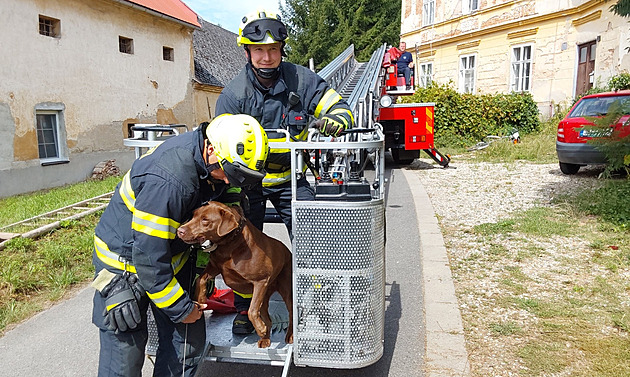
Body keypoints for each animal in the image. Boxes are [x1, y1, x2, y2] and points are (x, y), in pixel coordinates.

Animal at [177, 200, 296, 346]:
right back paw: (265, 339)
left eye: (205, 220)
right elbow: (201, 278)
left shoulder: (260, 281)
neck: (230, 243)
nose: (180, 231)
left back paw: (288, 335)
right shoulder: (214, 267)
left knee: (291, 312)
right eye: (194, 215)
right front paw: (200, 298)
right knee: (267, 318)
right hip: (264, 296)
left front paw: (260, 328)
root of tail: (288, 251)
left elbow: (251, 310)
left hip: (285, 289)